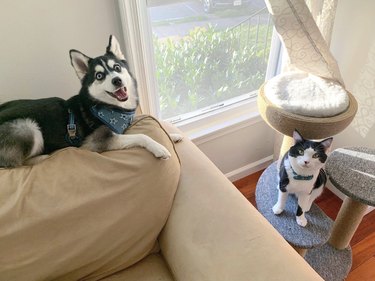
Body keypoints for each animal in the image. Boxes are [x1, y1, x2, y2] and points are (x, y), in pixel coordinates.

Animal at [0, 34, 181, 166]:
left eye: (117, 67)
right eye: (99, 76)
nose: (117, 80)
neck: (109, 107)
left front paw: (171, 135)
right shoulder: (95, 142)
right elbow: (142, 135)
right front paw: (159, 147)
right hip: (27, 127)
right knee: (15, 163)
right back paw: (43, 157)